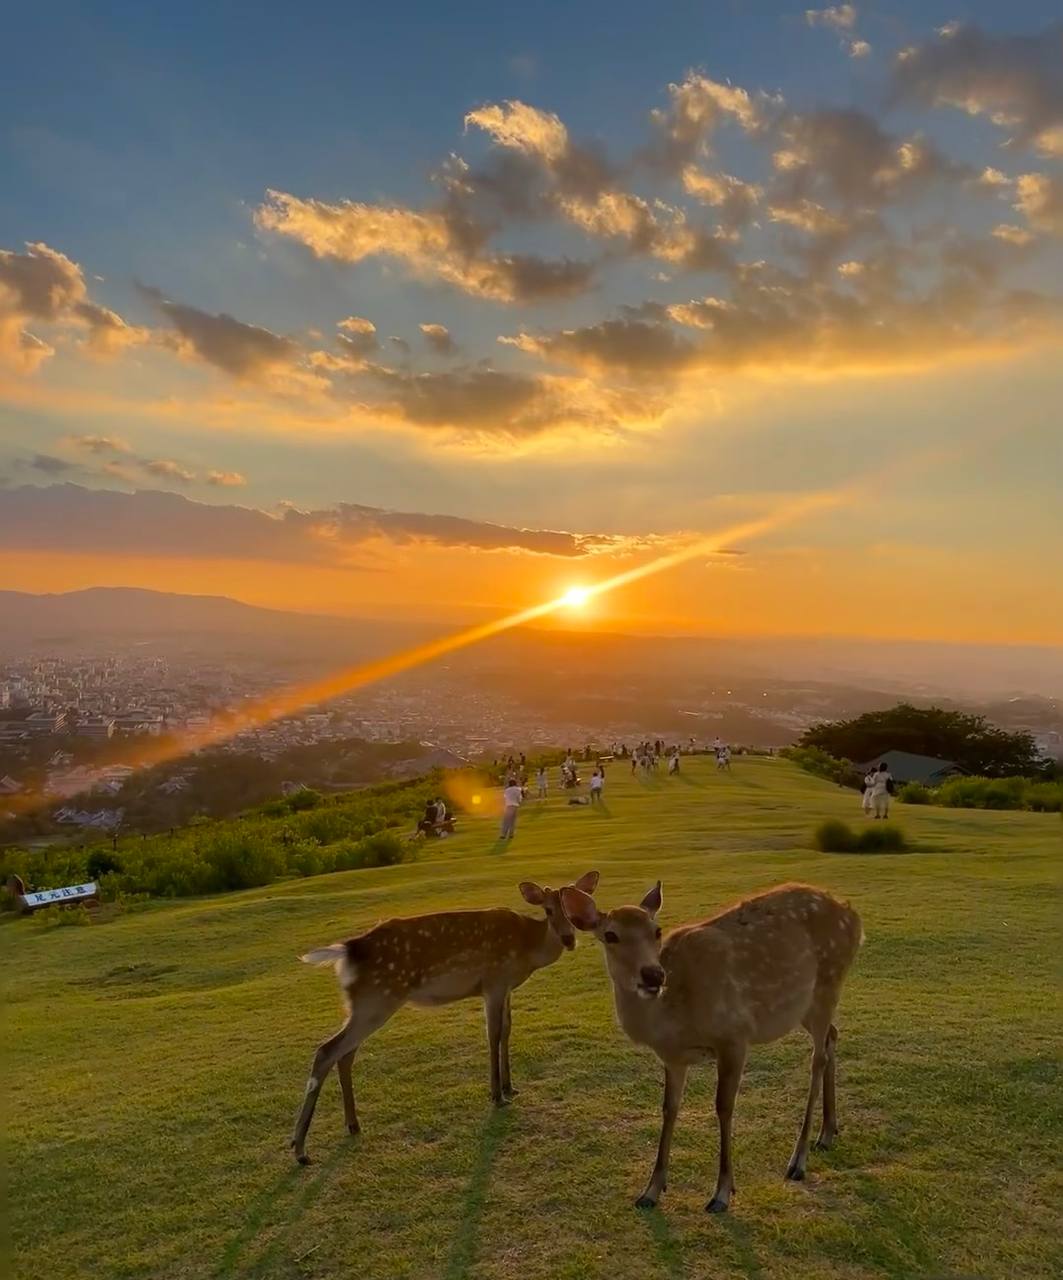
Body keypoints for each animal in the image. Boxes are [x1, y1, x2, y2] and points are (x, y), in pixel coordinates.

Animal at [292, 870, 599, 1162]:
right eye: (548, 910)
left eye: (573, 911)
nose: (569, 940)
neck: (527, 949)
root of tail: (348, 951)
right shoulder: (494, 981)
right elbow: (493, 1033)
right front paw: (497, 1096)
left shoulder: (507, 987)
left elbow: (507, 1031)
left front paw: (510, 1088)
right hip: (377, 999)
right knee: (327, 1050)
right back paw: (300, 1149)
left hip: (361, 1005)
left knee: (344, 1054)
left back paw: (352, 1125)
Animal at [560, 875, 860, 1213]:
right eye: (610, 935)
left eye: (657, 930)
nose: (653, 975)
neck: (674, 1021)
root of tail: (854, 918)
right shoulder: (674, 1058)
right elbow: (669, 1109)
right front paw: (651, 1190)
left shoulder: (735, 1035)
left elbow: (723, 1107)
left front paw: (722, 1193)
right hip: (803, 1007)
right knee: (833, 1036)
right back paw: (828, 1133)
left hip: (828, 984)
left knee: (817, 1058)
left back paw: (798, 1161)